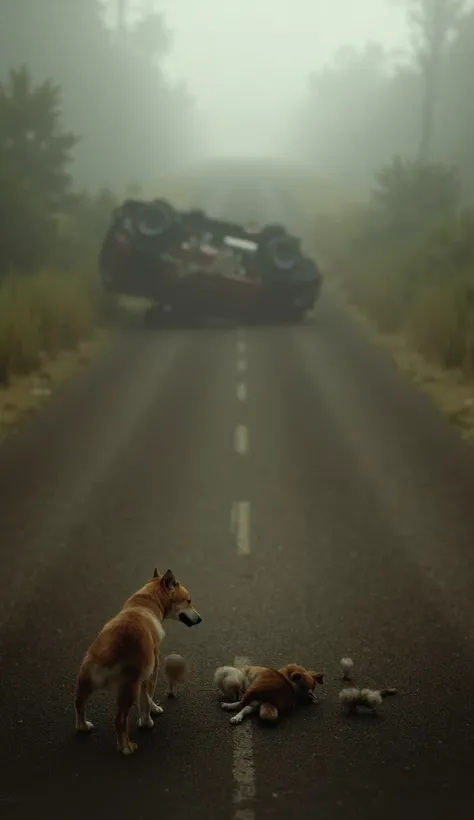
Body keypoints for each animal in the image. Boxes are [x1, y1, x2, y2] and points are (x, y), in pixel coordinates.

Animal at [74, 572, 202, 756]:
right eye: (188, 600)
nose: (200, 619)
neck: (144, 604)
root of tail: (110, 649)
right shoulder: (152, 670)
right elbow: (147, 700)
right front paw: (147, 720)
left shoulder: (144, 674)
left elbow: (146, 698)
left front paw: (149, 714)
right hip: (129, 689)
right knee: (119, 720)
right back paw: (126, 747)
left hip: (86, 679)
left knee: (79, 703)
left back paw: (83, 726)